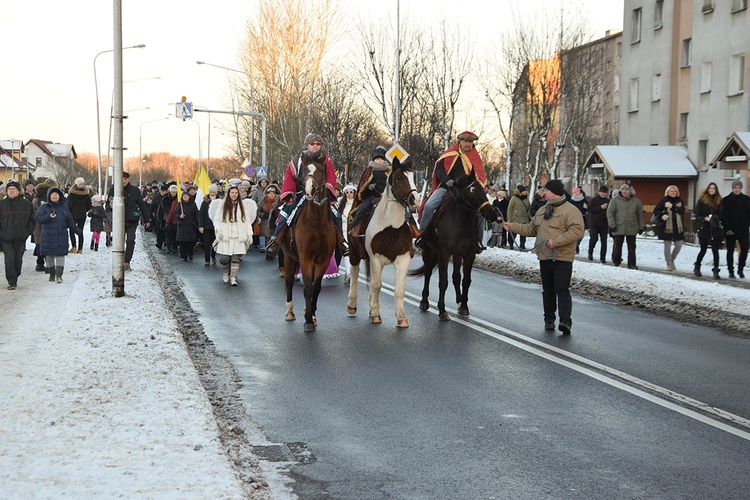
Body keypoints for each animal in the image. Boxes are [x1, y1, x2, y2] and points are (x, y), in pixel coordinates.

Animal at [280, 152, 338, 332]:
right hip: (288, 256)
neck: (316, 223)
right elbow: (308, 287)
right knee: (289, 281)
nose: (309, 190)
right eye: (305, 170)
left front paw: (311, 315)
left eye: (321, 170)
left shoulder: (323, 259)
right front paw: (307, 321)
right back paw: (289, 312)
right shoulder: (305, 258)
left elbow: (316, 287)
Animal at [348, 157, 424, 328]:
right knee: (355, 274)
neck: (391, 227)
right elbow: (376, 286)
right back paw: (352, 305)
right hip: (355, 254)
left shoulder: (402, 260)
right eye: (399, 178)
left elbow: (399, 289)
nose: (415, 200)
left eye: (413, 177)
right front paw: (376, 315)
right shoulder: (376, 259)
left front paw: (401, 318)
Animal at [412, 172, 500, 320]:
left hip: (457, 255)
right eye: (470, 193)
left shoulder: (469, 254)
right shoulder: (444, 253)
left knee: (456, 276)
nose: (492, 214)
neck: (461, 221)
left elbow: (466, 280)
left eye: (482, 190)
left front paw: (464, 306)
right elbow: (443, 281)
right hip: (429, 251)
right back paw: (424, 302)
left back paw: (459, 301)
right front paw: (442, 311)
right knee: (428, 273)